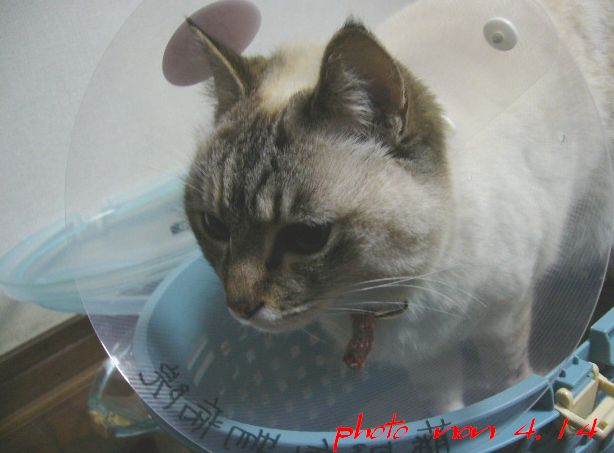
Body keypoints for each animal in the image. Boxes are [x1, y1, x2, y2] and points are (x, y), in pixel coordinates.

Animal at [184, 0, 613, 417]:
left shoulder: (505, 318)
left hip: (592, 236)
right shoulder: (426, 360)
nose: (240, 308)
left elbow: (506, 383)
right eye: (214, 226)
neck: (381, 294)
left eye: (307, 237)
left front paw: (512, 404)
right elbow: (445, 408)